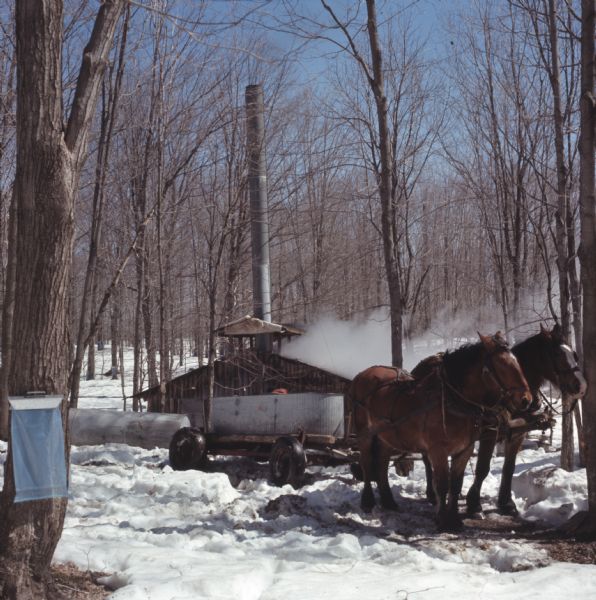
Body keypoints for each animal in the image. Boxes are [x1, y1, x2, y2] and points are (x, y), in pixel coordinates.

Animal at [350, 330, 532, 532]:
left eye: (517, 362)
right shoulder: (438, 450)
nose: (526, 399)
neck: (453, 400)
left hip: (386, 436)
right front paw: (444, 520)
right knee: (366, 463)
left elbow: (456, 484)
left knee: (381, 463)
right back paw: (367, 502)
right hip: (365, 434)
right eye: (502, 366)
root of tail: (362, 374)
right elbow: (443, 484)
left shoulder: (465, 449)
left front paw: (454, 519)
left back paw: (388, 501)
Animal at [464, 324, 584, 516]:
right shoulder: (489, 433)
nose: (581, 386)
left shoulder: (517, 434)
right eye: (557, 354)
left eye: (573, 354)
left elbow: (509, 467)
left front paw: (507, 503)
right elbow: (482, 468)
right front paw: (474, 504)